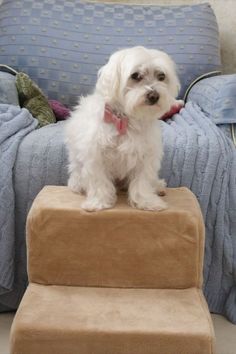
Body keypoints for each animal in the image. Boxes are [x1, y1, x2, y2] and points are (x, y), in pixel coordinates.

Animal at [65, 45, 180, 212]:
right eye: (135, 75)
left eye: (161, 76)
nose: (154, 95)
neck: (124, 120)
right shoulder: (95, 156)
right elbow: (99, 182)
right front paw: (98, 203)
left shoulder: (145, 156)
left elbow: (142, 182)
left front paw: (147, 202)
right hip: (77, 170)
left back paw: (158, 186)